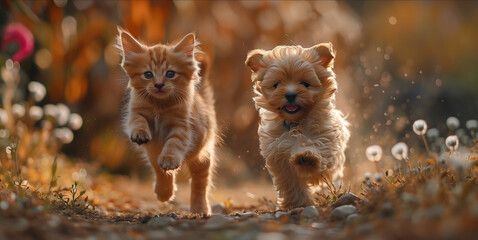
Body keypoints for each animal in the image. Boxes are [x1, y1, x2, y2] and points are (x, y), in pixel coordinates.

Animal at [117, 28, 218, 214]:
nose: (158, 85)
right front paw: (140, 134)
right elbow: (138, 122)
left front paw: (170, 159)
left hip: (202, 157)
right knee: (160, 172)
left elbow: (173, 145)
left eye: (170, 73)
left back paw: (199, 208)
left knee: (199, 183)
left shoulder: (182, 127)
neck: (160, 106)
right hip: (153, 153)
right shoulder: (136, 112)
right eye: (148, 74)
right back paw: (163, 193)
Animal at [245, 44, 350, 209]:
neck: (295, 123)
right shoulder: (279, 155)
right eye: (276, 85)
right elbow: (291, 182)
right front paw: (296, 203)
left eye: (305, 83)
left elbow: (316, 148)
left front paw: (306, 157)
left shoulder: (326, 140)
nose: (290, 94)